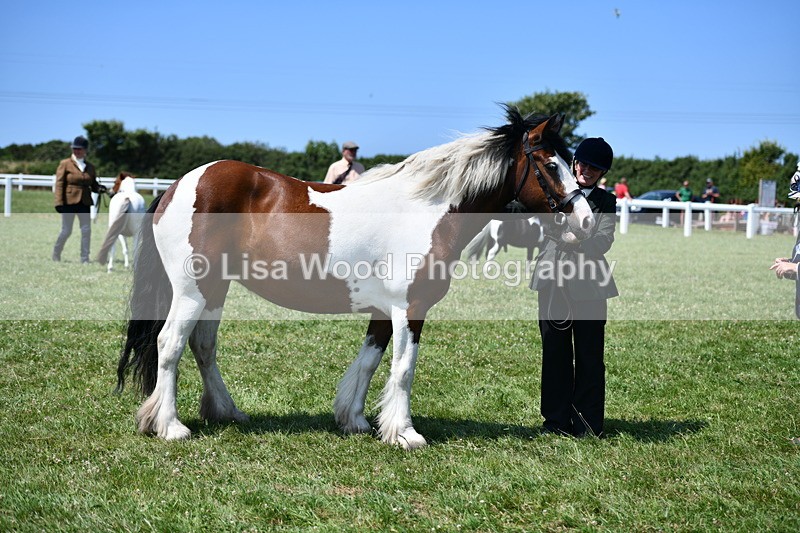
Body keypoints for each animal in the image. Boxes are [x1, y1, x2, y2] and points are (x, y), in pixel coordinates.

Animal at [115, 107, 595, 449]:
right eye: (550, 164)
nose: (586, 220)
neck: (429, 210)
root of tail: (178, 185)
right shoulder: (410, 309)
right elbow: (403, 368)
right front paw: (405, 433)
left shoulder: (384, 312)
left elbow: (369, 362)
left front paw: (357, 419)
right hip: (191, 291)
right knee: (170, 345)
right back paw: (170, 426)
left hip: (215, 289)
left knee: (203, 346)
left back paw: (226, 412)